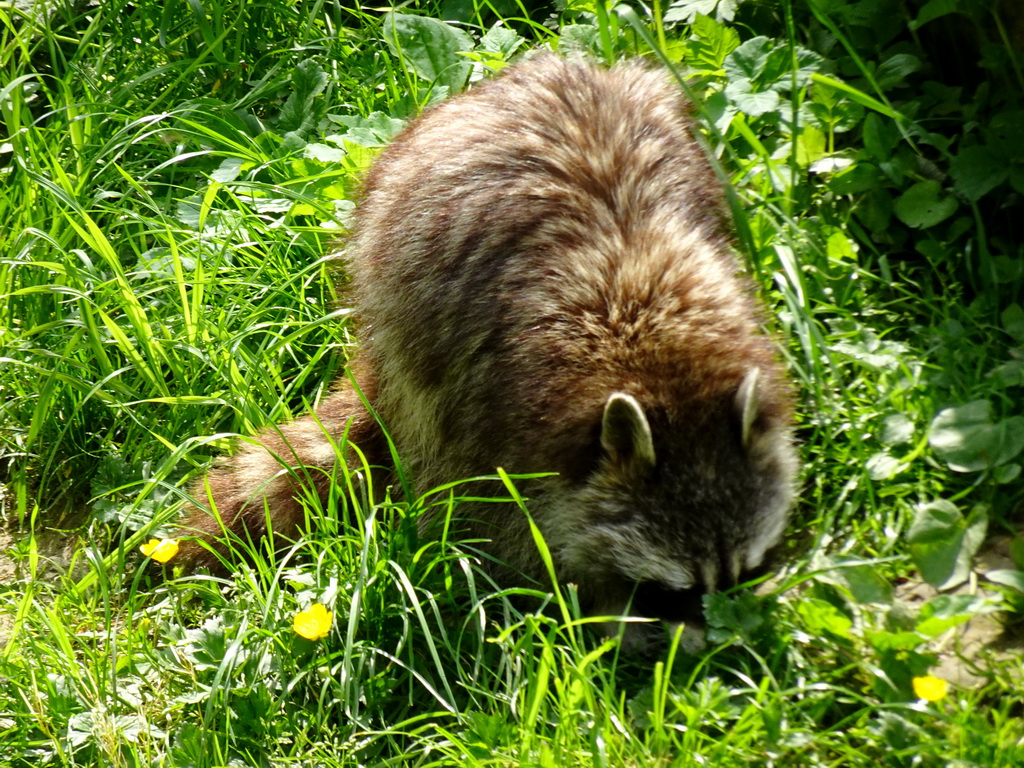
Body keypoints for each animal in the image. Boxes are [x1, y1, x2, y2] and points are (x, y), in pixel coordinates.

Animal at [176, 54, 798, 643]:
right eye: (671, 588)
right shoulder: (501, 410)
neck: (663, 362)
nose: (723, 643)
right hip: (400, 297)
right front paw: (602, 612)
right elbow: (506, 526)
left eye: (748, 567)